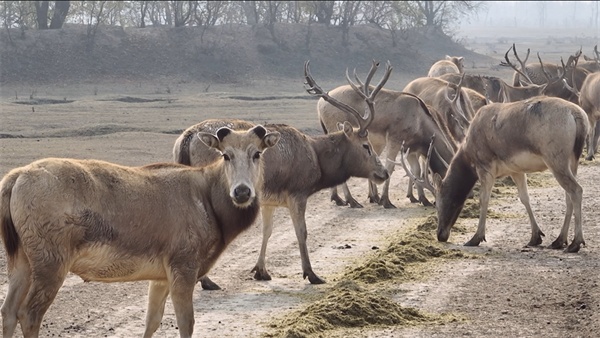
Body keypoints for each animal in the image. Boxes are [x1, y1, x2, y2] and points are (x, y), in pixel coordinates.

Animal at [0, 125, 282, 338]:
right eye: (225, 155)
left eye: (257, 153)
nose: (242, 192)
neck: (209, 201)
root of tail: (16, 178)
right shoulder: (184, 264)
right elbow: (186, 323)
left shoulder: (161, 275)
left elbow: (152, 321)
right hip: (51, 261)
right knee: (29, 313)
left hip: (22, 258)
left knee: (9, 311)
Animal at [172, 59, 394, 286]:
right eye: (366, 145)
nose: (383, 172)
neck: (316, 163)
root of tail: (187, 138)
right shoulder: (297, 193)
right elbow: (301, 231)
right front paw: (311, 274)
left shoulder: (269, 200)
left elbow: (267, 231)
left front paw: (261, 271)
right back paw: (206, 280)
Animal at [396, 95, 588, 254]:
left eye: (440, 203)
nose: (440, 234)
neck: (469, 154)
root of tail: (578, 116)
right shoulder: (516, 170)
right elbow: (524, 198)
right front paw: (535, 237)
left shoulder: (485, 166)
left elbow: (484, 199)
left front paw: (475, 238)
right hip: (572, 159)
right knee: (568, 195)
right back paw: (559, 241)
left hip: (555, 157)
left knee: (576, 189)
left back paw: (575, 243)